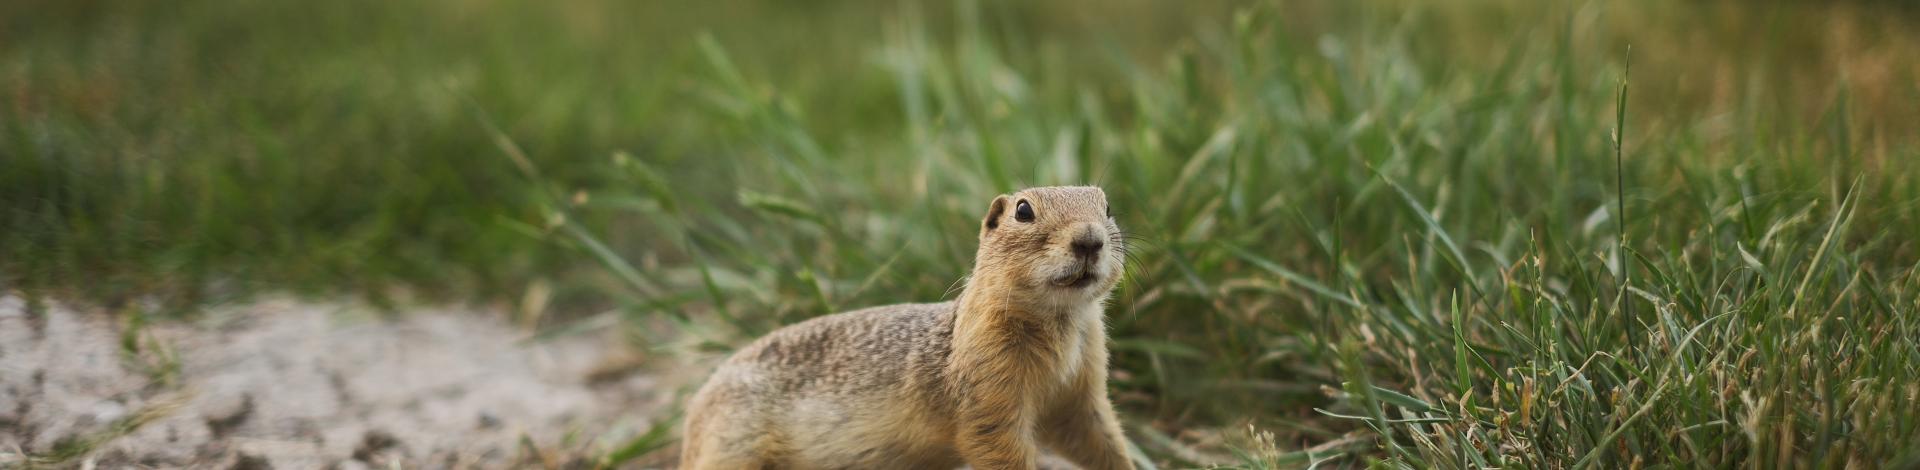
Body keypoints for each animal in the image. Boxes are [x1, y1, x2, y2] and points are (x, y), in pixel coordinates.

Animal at [680, 186, 1134, 469]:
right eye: (1023, 210)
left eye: (1108, 207)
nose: (1090, 239)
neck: (1060, 324)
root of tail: (694, 412)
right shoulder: (987, 387)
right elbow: (995, 444)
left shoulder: (1083, 386)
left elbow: (1097, 437)